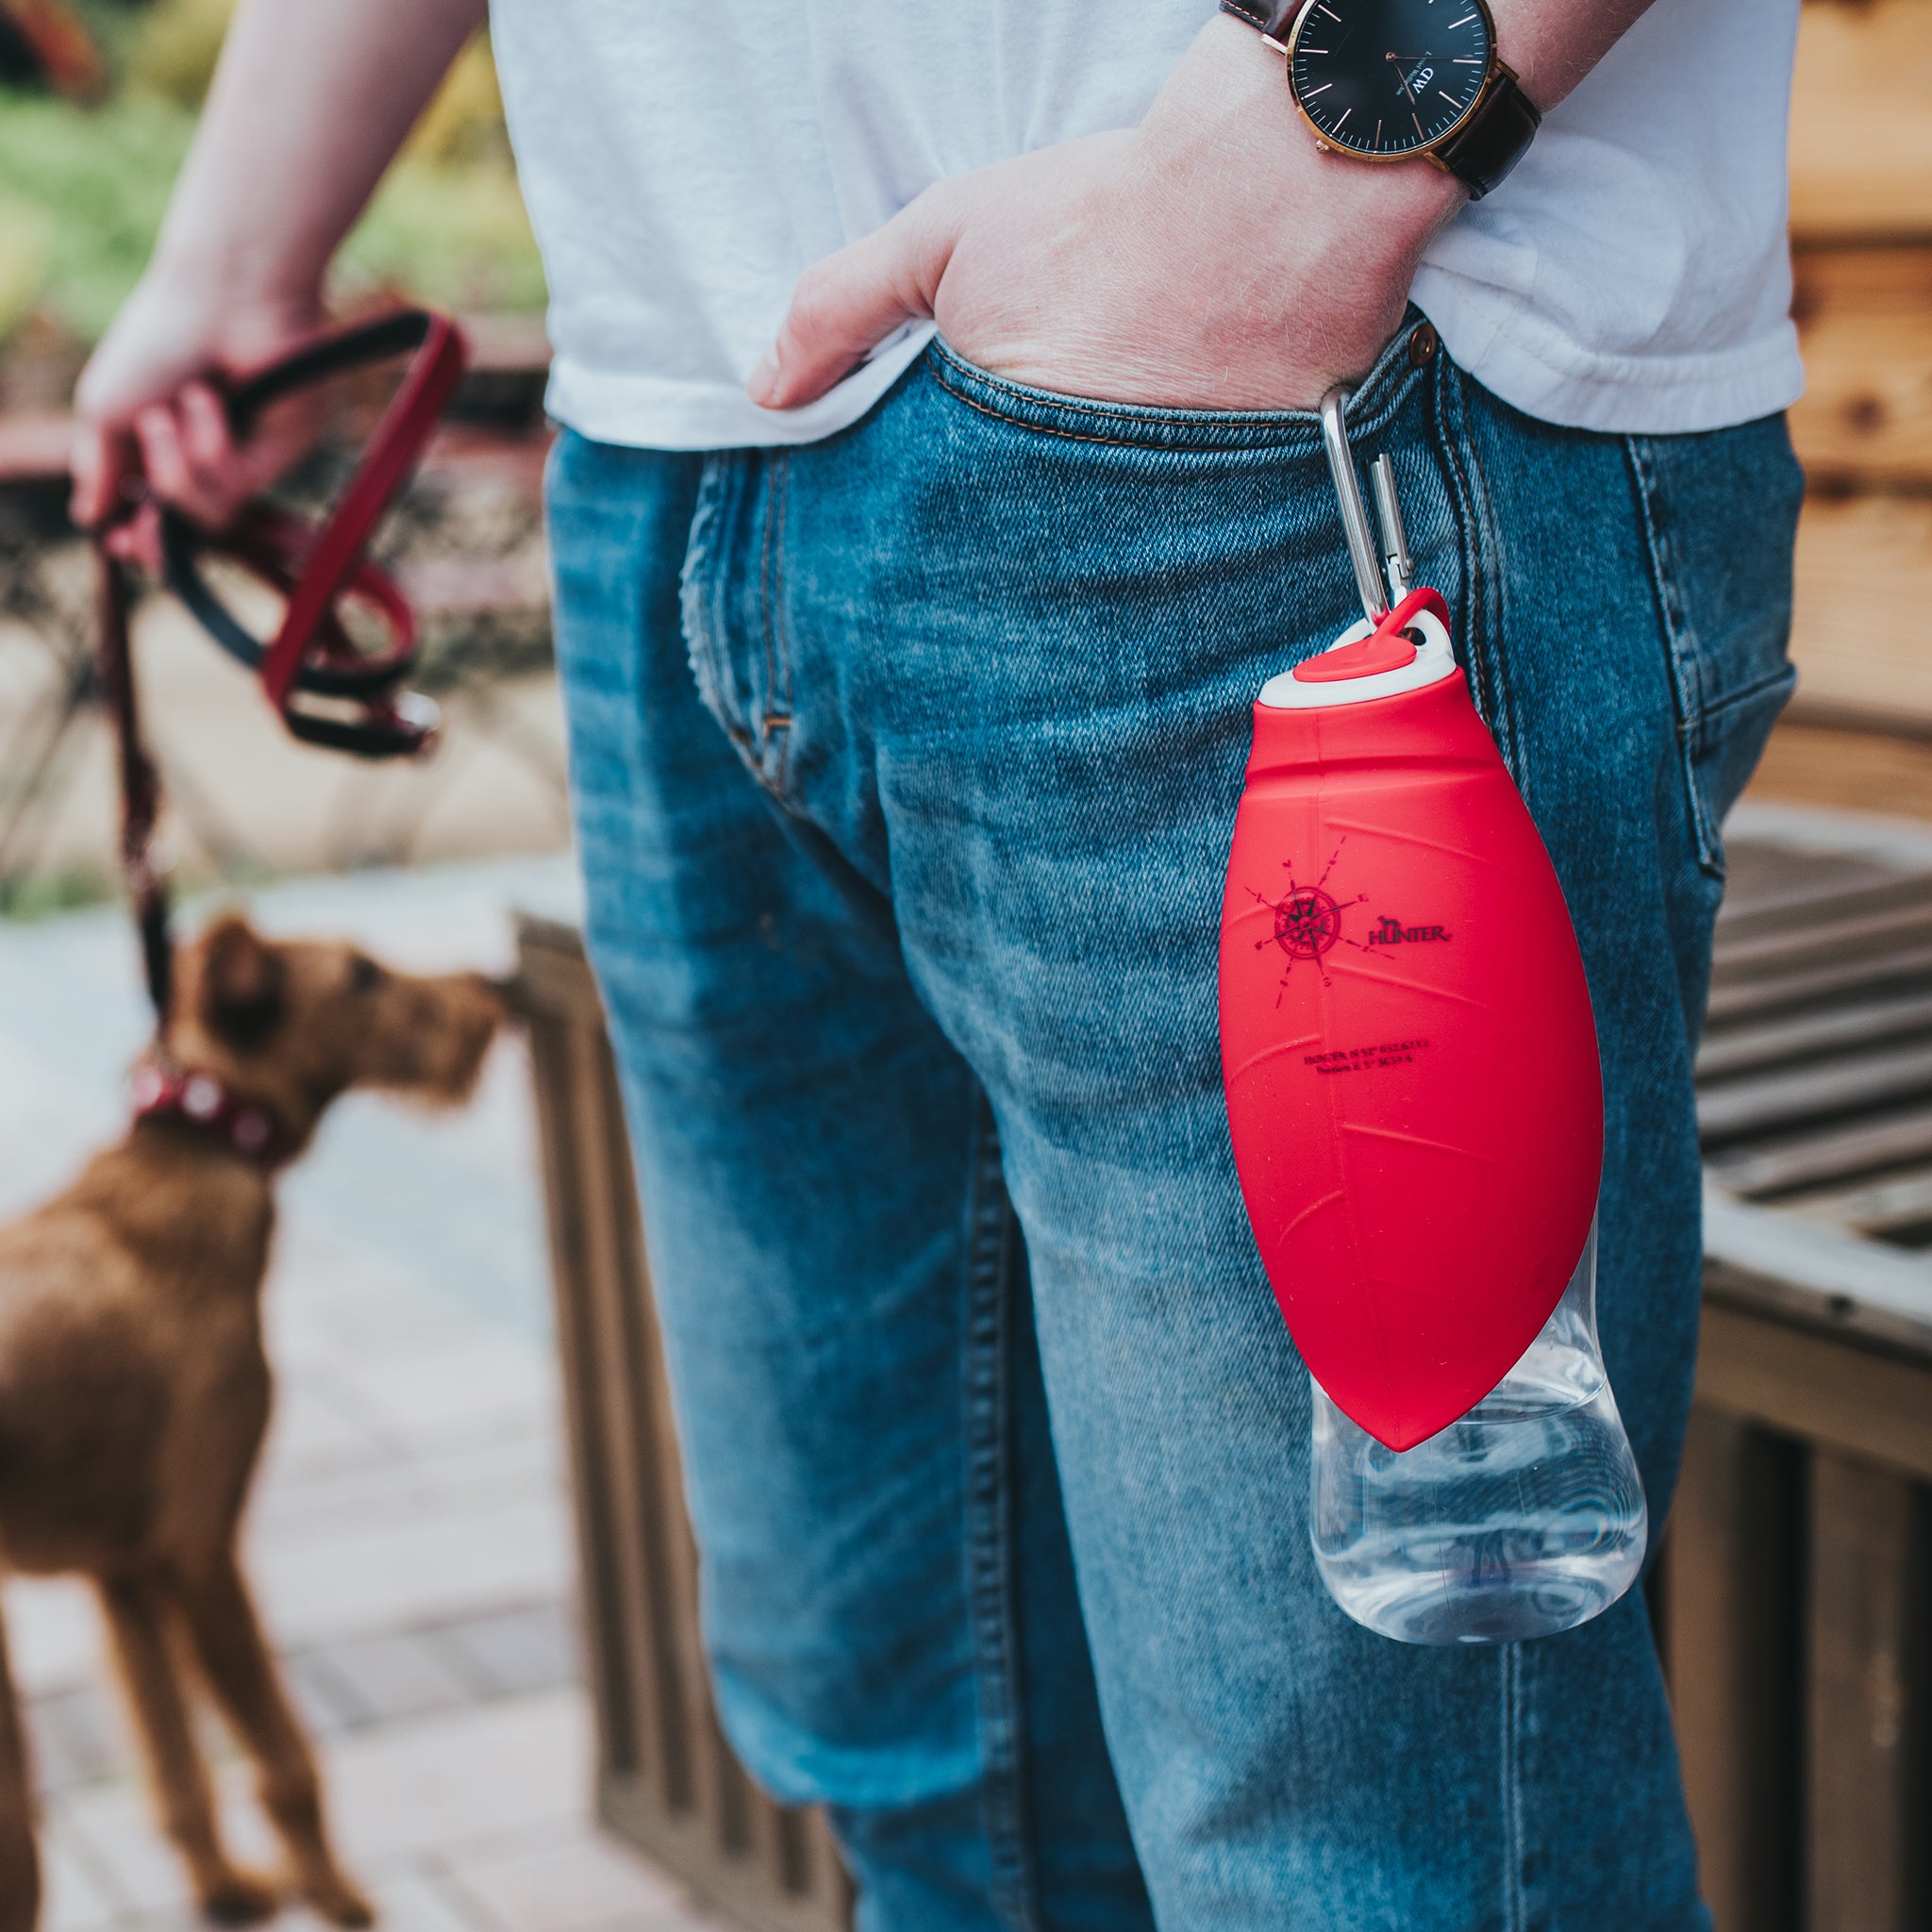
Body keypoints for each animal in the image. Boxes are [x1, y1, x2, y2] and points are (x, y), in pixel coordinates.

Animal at [0, 919, 506, 1932]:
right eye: (362, 975)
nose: (495, 989)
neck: (198, 1149)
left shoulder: (127, 1572)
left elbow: (175, 1767)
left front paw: (226, 1891)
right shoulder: (203, 1551)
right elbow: (285, 1761)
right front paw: (341, 1901)